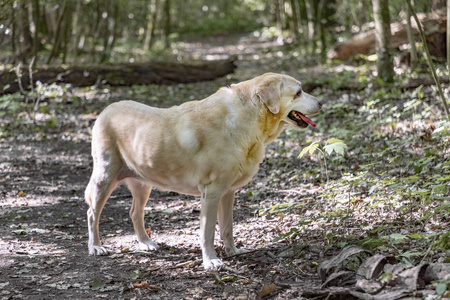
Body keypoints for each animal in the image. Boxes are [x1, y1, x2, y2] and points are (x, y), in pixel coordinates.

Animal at [84, 72, 322, 270]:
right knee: (92, 213)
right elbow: (207, 232)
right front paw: (211, 261)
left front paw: (233, 252)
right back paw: (95, 247)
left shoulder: (228, 192)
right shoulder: (212, 191)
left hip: (143, 183)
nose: (321, 102)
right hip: (104, 177)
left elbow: (227, 228)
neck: (247, 117)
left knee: (135, 212)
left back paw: (145, 243)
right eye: (298, 92)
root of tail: (106, 110)